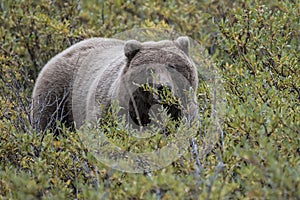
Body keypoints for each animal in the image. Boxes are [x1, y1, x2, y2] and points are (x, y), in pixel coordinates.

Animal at [31, 36, 199, 132]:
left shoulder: (185, 113)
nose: (163, 87)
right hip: (57, 95)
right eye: (149, 69)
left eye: (172, 66)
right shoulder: (110, 108)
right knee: (48, 124)